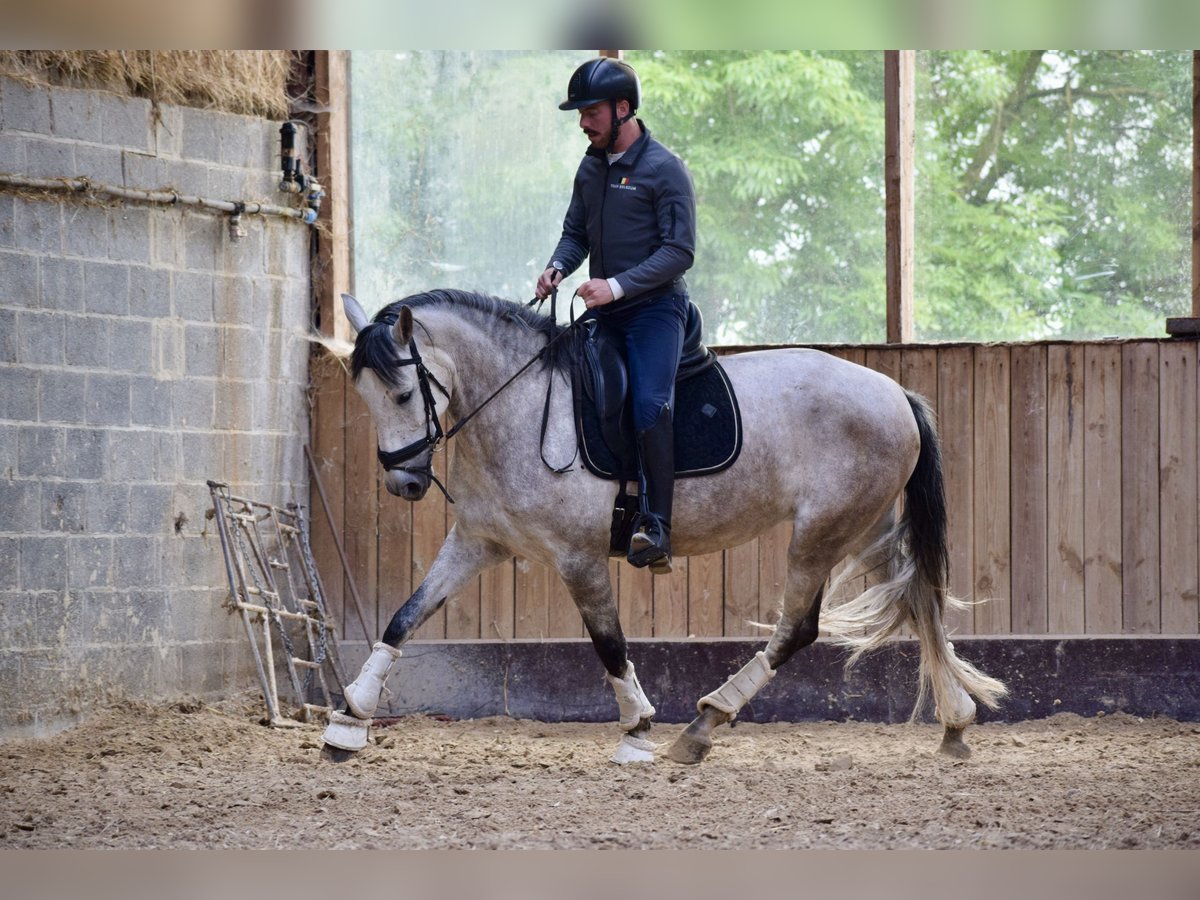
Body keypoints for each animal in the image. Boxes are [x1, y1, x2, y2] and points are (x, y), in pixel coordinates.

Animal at [316, 290, 1003, 768]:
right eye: (366, 398)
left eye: (404, 395)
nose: (403, 485)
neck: (518, 407)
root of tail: (893, 392)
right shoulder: (476, 543)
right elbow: (404, 618)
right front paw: (349, 721)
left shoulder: (579, 557)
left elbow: (609, 643)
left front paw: (639, 730)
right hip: (864, 529)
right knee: (919, 602)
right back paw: (955, 723)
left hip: (822, 533)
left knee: (799, 629)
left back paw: (703, 727)